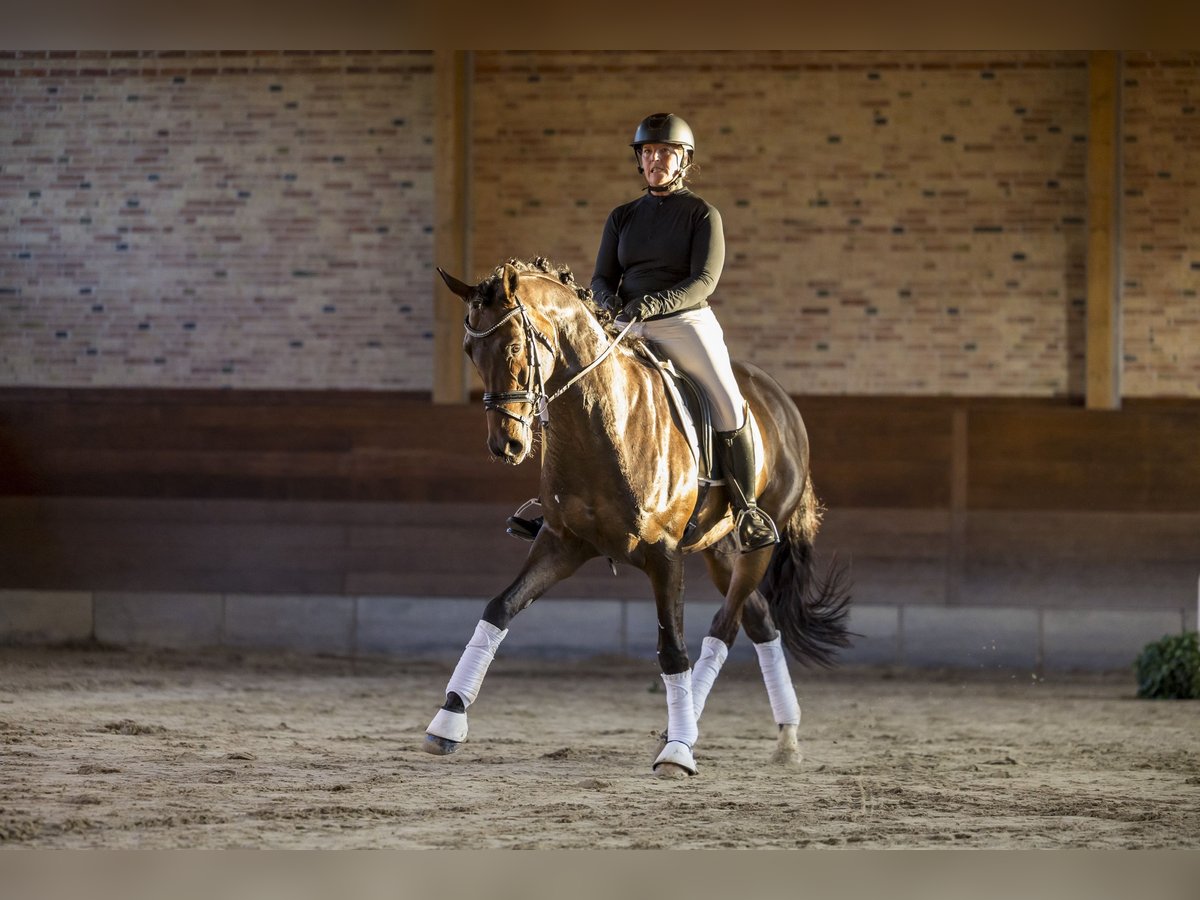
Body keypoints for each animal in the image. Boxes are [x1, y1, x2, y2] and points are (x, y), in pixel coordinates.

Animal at [427, 256, 849, 777]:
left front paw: (678, 753)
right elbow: (498, 609)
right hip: (719, 548)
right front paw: (448, 720)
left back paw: (694, 733)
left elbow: (673, 650)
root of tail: (782, 401)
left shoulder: (664, 555)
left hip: (757, 546)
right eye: (469, 351)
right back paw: (783, 735)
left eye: (513, 347)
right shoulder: (562, 544)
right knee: (759, 621)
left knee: (724, 628)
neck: (596, 425)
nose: (506, 445)